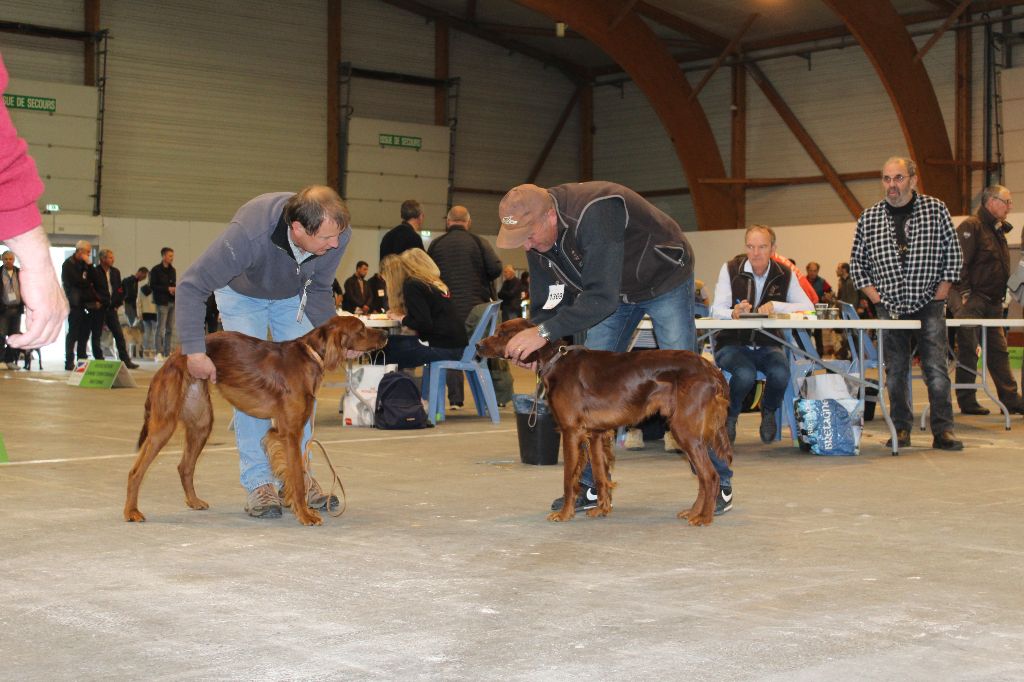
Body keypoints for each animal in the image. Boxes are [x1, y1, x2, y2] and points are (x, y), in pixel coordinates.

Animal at [123, 315, 385, 524]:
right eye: (361, 329)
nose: (384, 334)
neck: (310, 357)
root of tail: (173, 357)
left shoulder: (281, 433)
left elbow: (294, 472)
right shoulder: (290, 432)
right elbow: (297, 476)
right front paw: (305, 514)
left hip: (201, 423)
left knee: (185, 466)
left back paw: (194, 501)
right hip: (164, 425)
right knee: (135, 471)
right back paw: (132, 512)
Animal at [475, 315, 733, 522]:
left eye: (501, 333)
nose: (477, 345)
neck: (554, 361)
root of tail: (710, 368)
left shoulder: (571, 431)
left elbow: (569, 478)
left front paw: (564, 514)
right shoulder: (596, 434)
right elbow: (600, 475)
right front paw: (602, 509)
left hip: (685, 429)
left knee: (710, 475)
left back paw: (704, 517)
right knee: (703, 477)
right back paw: (693, 512)